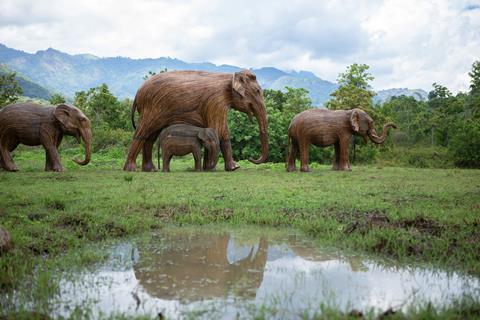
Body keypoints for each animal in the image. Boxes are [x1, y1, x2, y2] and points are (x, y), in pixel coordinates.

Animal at [122, 69, 268, 171]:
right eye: (257, 91)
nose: (250, 158)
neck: (229, 77)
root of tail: (137, 92)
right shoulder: (216, 101)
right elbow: (221, 130)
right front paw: (233, 168)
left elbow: (213, 130)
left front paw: (208, 168)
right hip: (151, 108)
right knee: (142, 133)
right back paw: (131, 169)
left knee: (150, 137)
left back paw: (150, 170)